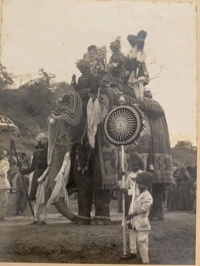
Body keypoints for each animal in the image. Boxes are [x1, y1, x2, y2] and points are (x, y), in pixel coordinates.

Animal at [43, 73, 173, 224]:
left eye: (68, 130)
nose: (73, 218)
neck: (91, 96)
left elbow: (100, 175)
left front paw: (99, 221)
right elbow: (82, 176)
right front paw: (82, 220)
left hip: (162, 136)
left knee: (158, 181)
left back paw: (155, 218)